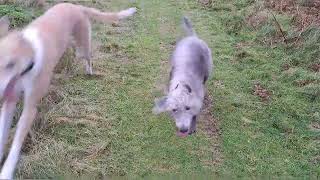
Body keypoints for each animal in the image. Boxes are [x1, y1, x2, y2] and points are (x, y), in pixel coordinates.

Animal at [0, 3, 136, 179]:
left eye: (10, 64)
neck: (30, 56)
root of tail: (76, 6)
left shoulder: (30, 108)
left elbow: (17, 142)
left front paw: (6, 171)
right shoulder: (10, 101)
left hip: (83, 44)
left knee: (88, 58)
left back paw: (89, 71)